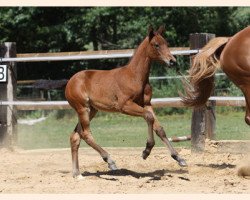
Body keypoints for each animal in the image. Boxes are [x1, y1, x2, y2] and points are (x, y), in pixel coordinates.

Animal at [66, 25, 188, 180]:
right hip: (83, 108)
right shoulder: (125, 106)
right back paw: (110, 161)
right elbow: (148, 117)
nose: (172, 61)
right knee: (86, 134)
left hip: (92, 110)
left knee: (75, 136)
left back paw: (77, 174)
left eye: (166, 43)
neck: (135, 76)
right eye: (156, 45)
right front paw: (146, 150)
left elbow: (159, 128)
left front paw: (179, 158)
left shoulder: (147, 104)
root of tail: (69, 82)